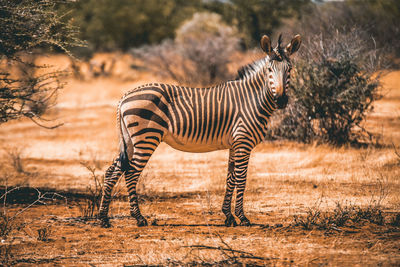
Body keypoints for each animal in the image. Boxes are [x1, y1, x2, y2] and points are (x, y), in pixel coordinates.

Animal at [98, 34, 302, 228]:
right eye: (269, 70)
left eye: (290, 69)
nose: (281, 101)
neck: (253, 100)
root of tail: (124, 97)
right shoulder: (243, 142)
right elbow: (241, 179)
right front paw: (242, 217)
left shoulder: (234, 144)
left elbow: (230, 178)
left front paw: (228, 216)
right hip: (146, 138)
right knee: (131, 173)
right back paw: (139, 218)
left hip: (130, 140)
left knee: (112, 172)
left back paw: (103, 219)